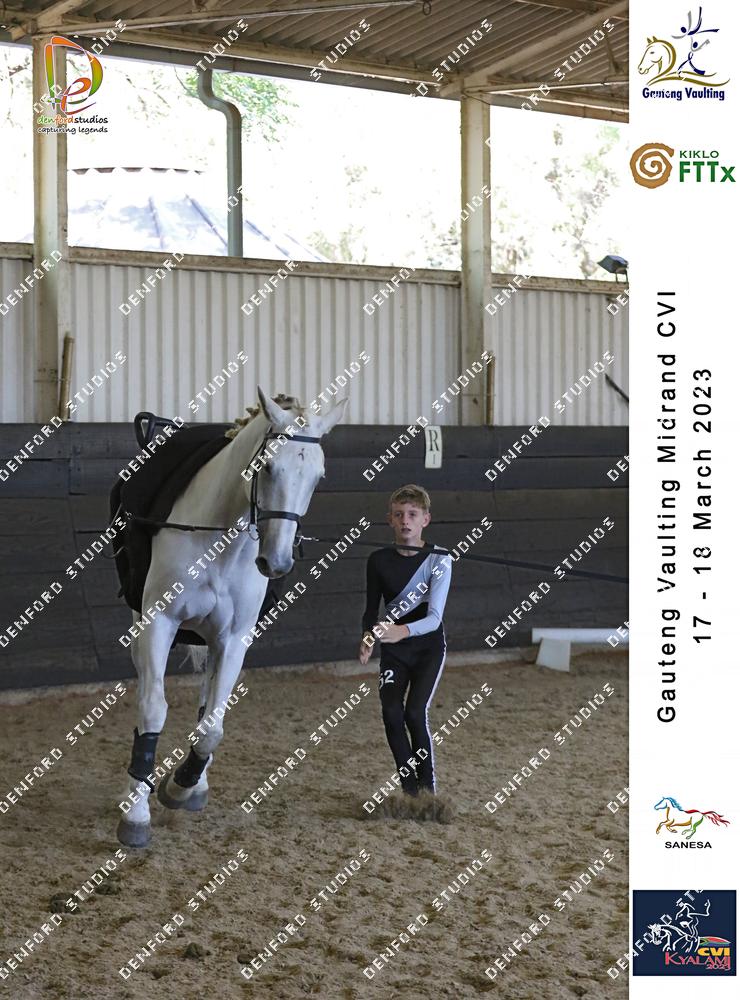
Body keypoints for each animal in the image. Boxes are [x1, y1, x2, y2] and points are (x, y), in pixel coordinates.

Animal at [116, 388, 347, 848]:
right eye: (267, 466)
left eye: (317, 476)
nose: (276, 562)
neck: (219, 539)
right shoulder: (159, 623)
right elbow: (152, 709)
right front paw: (136, 813)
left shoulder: (235, 637)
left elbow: (212, 727)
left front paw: (182, 785)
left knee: (209, 705)